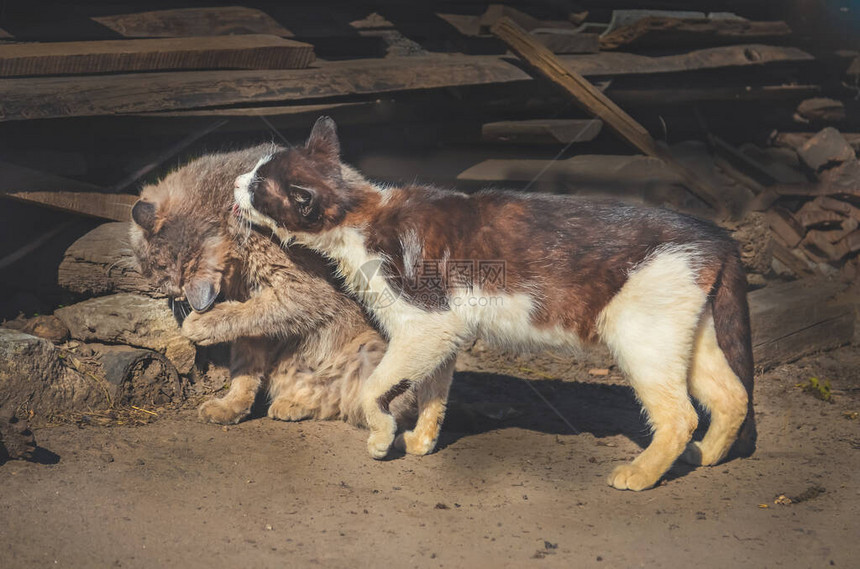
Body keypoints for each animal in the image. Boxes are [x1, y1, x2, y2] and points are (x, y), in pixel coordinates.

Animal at [127, 145, 444, 430]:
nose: (175, 302)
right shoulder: (254, 315)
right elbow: (245, 358)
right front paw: (232, 404)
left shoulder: (306, 291)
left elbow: (247, 313)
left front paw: (202, 324)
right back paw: (294, 400)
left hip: (375, 353)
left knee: (357, 404)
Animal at [232, 115, 756, 488]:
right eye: (254, 173)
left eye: (258, 186)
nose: (236, 182)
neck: (363, 217)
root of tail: (715, 234)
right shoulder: (444, 331)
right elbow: (433, 391)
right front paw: (421, 441)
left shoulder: (426, 323)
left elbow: (373, 387)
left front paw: (381, 439)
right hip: (686, 335)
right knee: (733, 395)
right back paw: (708, 457)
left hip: (638, 335)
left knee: (681, 415)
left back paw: (641, 475)